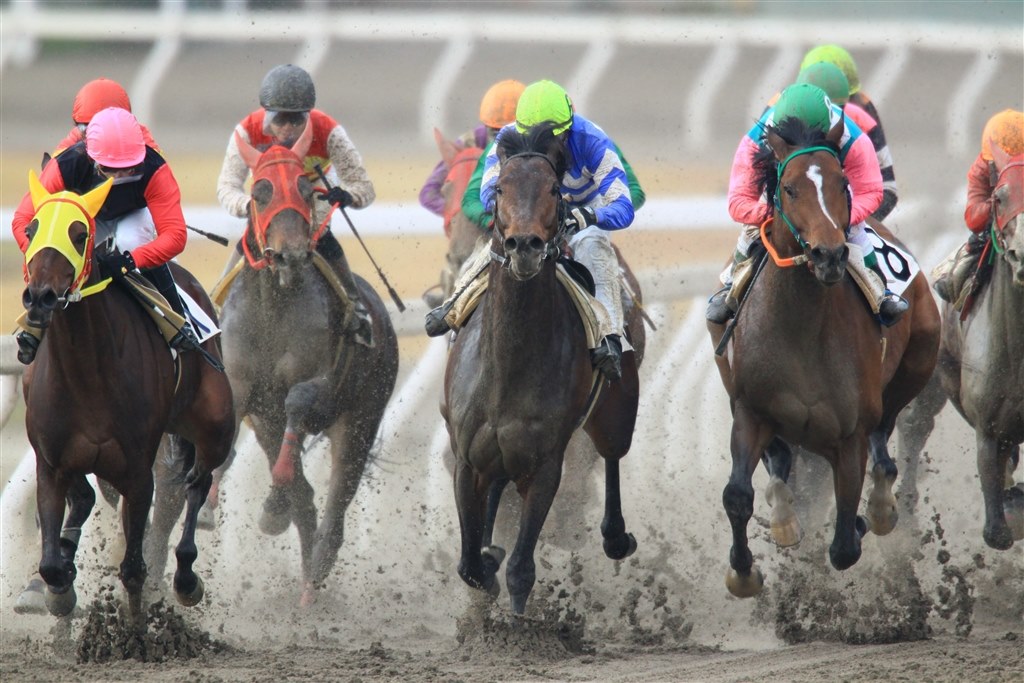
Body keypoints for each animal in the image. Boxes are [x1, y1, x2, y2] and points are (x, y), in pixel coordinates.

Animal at [19, 172, 234, 623]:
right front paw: (59, 587)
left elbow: (134, 568)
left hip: (215, 423)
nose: (41, 297)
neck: (87, 371)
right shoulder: (51, 462)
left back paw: (186, 577)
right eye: (31, 230)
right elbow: (51, 563)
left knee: (198, 482)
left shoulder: (137, 471)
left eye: (79, 234)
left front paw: (135, 629)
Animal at [211, 122, 399, 605]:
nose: (291, 254)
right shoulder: (244, 390)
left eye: (303, 187)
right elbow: (232, 423)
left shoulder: (320, 381)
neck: (274, 306)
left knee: (333, 510)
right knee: (307, 499)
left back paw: (313, 581)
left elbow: (297, 402)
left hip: (359, 421)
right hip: (271, 424)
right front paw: (215, 491)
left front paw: (273, 498)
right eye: (259, 192)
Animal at [442, 122, 644, 614]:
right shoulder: (467, 461)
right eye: (499, 188)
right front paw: (486, 565)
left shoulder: (546, 465)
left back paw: (615, 536)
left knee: (612, 455)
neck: (507, 370)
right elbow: (469, 566)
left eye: (554, 189)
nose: (525, 246)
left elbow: (521, 569)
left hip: (616, 415)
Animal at [706, 117, 940, 598]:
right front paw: (744, 572)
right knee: (781, 461)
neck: (802, 327)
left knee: (887, 435)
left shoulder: (849, 436)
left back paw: (882, 504)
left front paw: (863, 519)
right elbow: (737, 495)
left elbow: (845, 545)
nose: (829, 254)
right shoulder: (751, 411)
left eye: (843, 184)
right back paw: (785, 518)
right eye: (789, 188)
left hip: (919, 360)